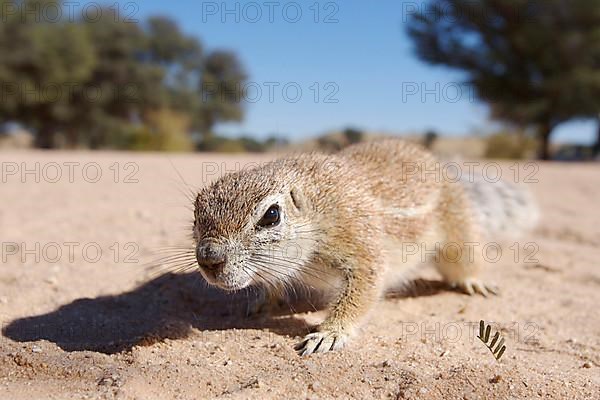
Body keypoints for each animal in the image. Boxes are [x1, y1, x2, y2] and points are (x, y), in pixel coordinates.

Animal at [192, 139, 540, 354]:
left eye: (272, 215)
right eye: (196, 212)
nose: (209, 259)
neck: (318, 206)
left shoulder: (359, 243)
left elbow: (360, 292)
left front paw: (329, 334)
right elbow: (272, 284)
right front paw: (262, 303)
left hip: (456, 227)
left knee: (463, 258)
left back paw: (474, 281)